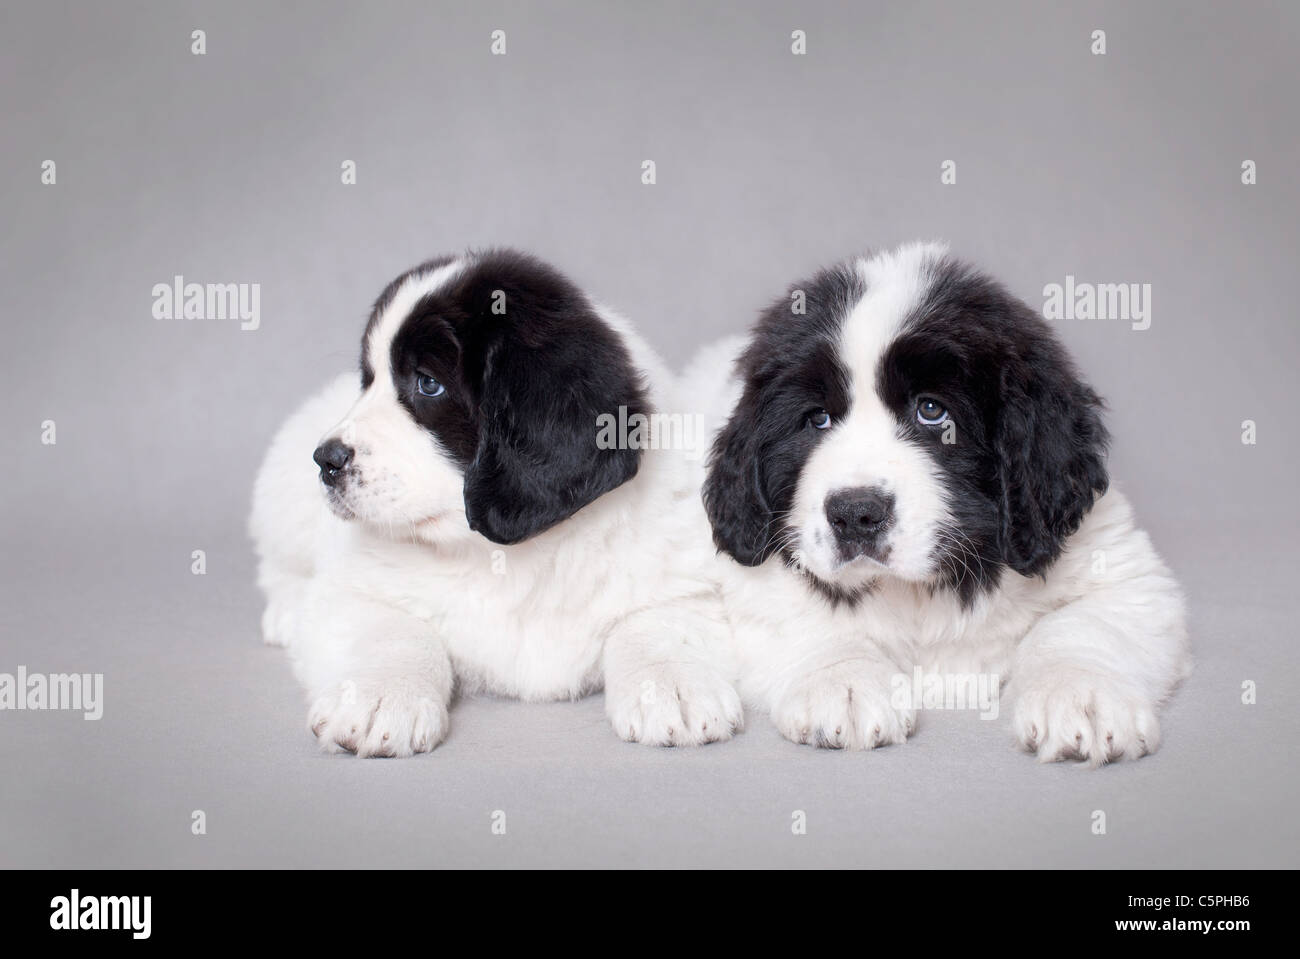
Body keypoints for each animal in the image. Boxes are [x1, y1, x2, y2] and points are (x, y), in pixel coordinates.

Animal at [250, 248, 743, 753]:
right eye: (367, 382)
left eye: (428, 384)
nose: (326, 459)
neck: (502, 556)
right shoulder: (353, 588)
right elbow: (394, 630)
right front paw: (380, 695)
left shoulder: (680, 578)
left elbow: (655, 623)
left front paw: (672, 686)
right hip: (282, 495)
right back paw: (285, 612)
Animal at [691, 240, 1190, 764]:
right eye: (817, 419)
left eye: (932, 411)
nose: (855, 514)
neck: (918, 593)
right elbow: (810, 622)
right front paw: (846, 683)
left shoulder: (1123, 573)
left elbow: (1082, 625)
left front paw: (1080, 696)